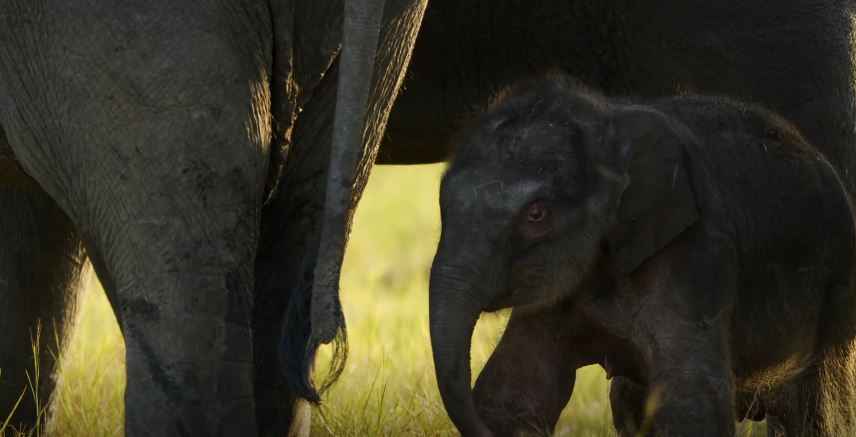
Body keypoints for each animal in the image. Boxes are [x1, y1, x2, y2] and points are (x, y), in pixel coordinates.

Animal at [432, 78, 856, 436]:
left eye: (537, 214)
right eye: (443, 201)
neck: (610, 121)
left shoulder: (697, 256)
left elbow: (693, 404)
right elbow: (516, 391)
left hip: (836, 291)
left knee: (816, 410)